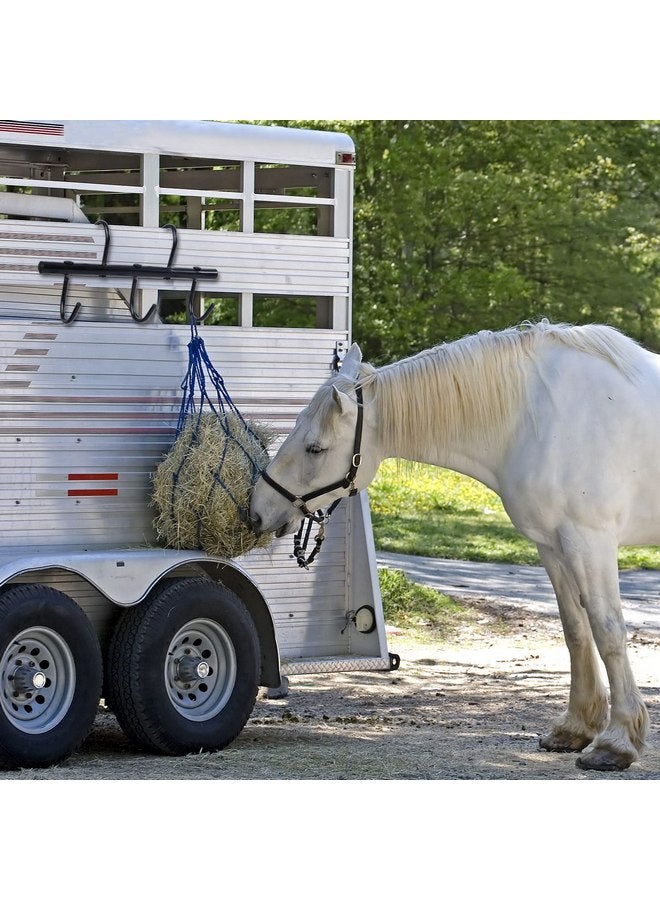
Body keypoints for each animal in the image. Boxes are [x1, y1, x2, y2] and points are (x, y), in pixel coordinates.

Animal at [250, 321, 660, 771]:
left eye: (315, 448)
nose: (257, 510)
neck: (540, 416)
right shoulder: (552, 545)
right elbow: (576, 631)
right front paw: (574, 729)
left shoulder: (589, 541)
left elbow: (608, 632)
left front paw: (616, 743)